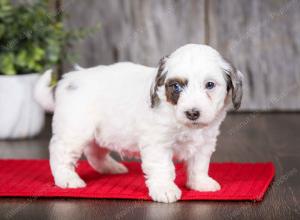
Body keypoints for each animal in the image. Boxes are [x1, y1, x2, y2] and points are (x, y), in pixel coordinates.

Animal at [34, 43, 243, 204]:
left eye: (210, 85)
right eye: (176, 86)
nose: (192, 113)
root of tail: (67, 80)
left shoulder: (205, 142)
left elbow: (199, 164)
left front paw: (200, 183)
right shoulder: (157, 144)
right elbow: (163, 167)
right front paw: (165, 189)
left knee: (94, 151)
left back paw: (110, 167)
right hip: (74, 130)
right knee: (60, 153)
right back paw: (67, 179)